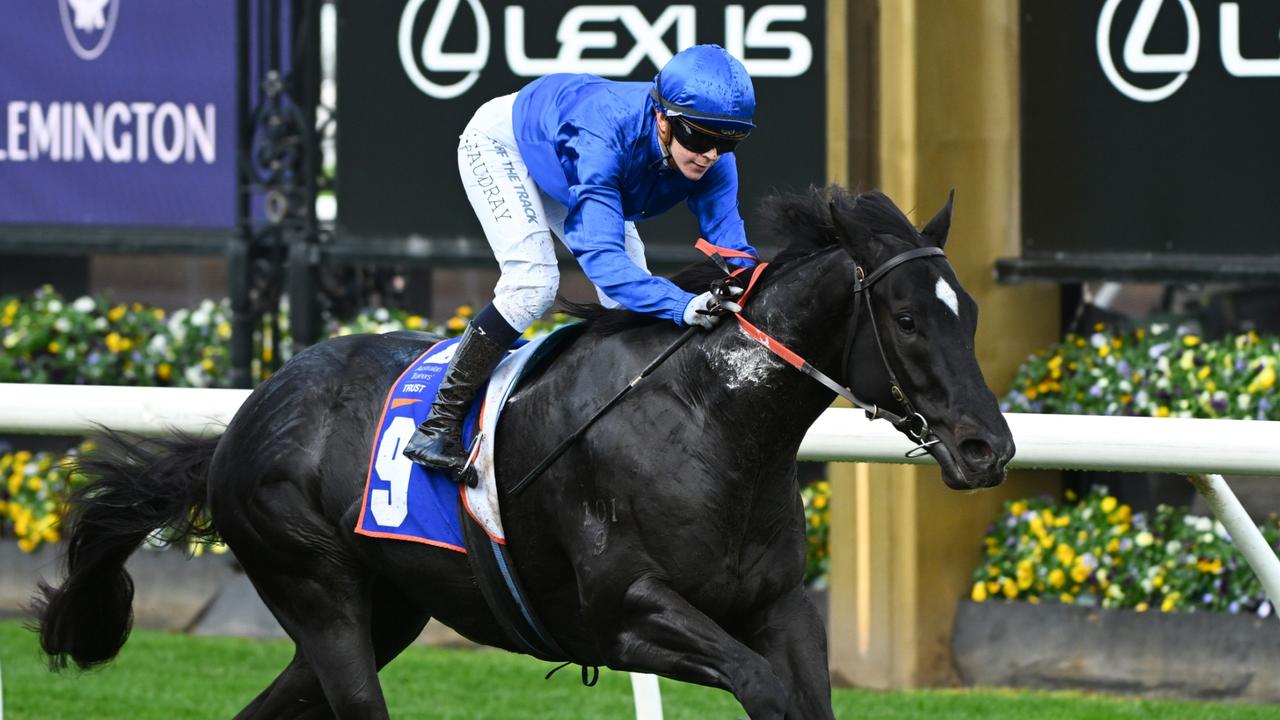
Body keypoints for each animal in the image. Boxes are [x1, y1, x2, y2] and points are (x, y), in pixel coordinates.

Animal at [37, 185, 1008, 717]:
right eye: (908, 318)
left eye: (968, 309)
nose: (987, 446)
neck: (711, 424)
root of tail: (243, 422)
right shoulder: (627, 614)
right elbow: (760, 688)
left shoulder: (780, 606)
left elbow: (801, 695)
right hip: (315, 590)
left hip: (385, 610)